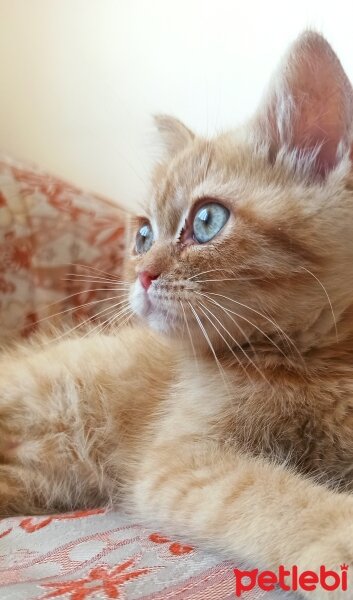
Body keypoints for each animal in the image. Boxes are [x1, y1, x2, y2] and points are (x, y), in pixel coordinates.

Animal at [0, 31, 352, 596]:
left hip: (42, 481)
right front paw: (341, 538)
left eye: (207, 220)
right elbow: (263, 491)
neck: (315, 359)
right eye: (143, 235)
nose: (142, 275)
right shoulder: (179, 459)